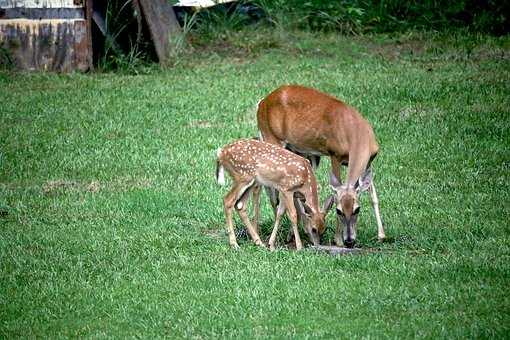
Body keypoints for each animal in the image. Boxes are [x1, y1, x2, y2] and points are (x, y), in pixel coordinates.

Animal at [256, 83, 384, 248]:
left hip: (300, 152)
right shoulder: (335, 154)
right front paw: (338, 240)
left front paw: (381, 235)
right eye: (339, 211)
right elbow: (336, 191)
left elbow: (373, 196)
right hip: (272, 138)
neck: (358, 135)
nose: (349, 241)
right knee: (273, 189)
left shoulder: (369, 161)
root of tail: (262, 102)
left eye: (357, 209)